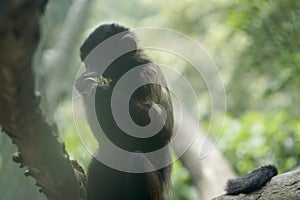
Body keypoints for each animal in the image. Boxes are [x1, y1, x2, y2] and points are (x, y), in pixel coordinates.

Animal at [75, 22, 173, 199]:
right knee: (103, 156)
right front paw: (87, 86)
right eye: (87, 62)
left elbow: (160, 127)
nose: (90, 68)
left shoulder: (145, 74)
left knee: (138, 160)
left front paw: (97, 90)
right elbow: (106, 139)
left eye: (97, 58)